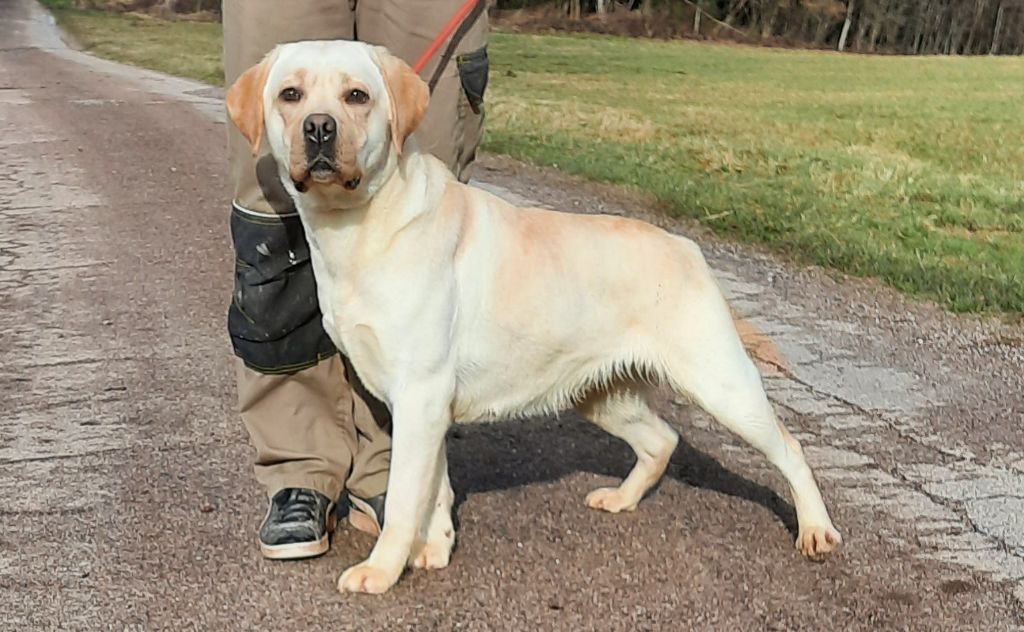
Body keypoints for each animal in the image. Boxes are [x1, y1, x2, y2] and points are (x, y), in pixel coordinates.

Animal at [226, 40, 842, 594]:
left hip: (722, 384)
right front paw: (435, 549)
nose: (319, 129)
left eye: (357, 96)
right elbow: (436, 489)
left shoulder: (420, 394)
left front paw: (381, 571)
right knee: (662, 439)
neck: (361, 224)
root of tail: (688, 248)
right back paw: (621, 499)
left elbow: (404, 497)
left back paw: (816, 531)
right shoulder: (422, 405)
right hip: (601, 393)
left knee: (789, 448)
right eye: (290, 94)